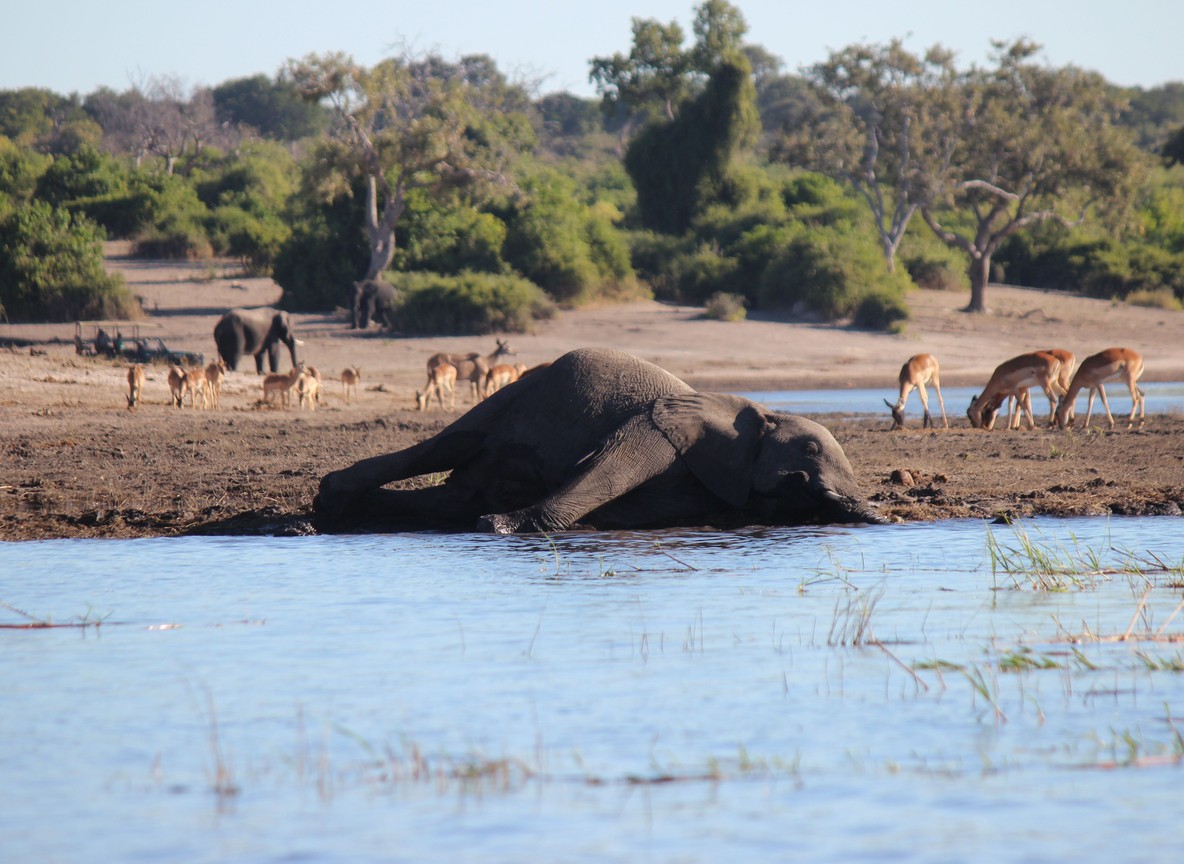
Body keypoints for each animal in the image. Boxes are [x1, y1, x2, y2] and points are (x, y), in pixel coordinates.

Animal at [315, 348, 885, 533]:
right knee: (444, 447)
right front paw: (498, 528)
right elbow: (602, 474)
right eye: (809, 450)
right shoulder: (657, 430)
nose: (813, 484)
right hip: (515, 394)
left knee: (448, 497)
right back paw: (330, 501)